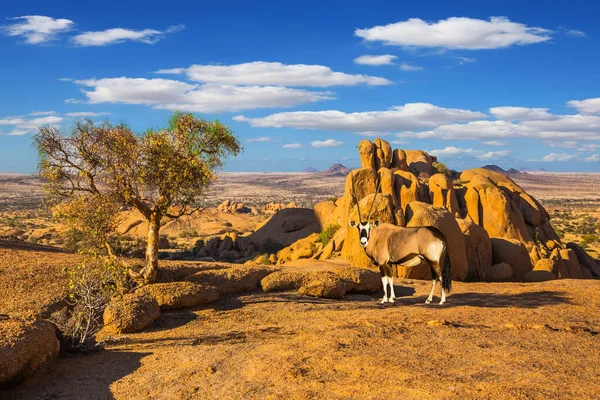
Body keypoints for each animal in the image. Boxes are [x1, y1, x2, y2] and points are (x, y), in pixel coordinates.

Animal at [350, 173, 452, 306]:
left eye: (368, 228)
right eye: (359, 228)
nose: (363, 242)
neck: (376, 236)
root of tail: (440, 235)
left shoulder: (382, 263)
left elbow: (384, 280)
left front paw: (384, 299)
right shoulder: (389, 263)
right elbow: (390, 279)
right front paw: (392, 298)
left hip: (433, 260)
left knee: (441, 276)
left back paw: (442, 300)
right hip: (431, 261)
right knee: (435, 278)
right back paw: (428, 300)